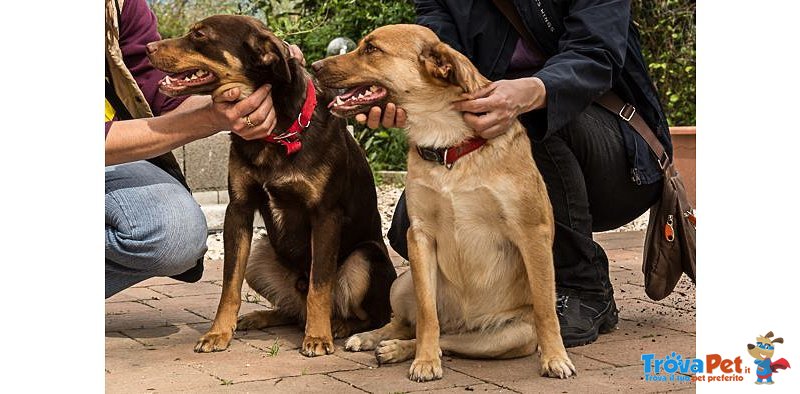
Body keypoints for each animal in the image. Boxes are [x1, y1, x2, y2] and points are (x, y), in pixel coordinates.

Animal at [147, 15, 396, 356]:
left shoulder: (325, 216)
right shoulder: (238, 209)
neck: (277, 132)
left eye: (199, 35)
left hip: (365, 258)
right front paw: (219, 332)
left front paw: (318, 337)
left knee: (365, 314)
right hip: (260, 253)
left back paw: (337, 326)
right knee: (293, 310)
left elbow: (320, 285)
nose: (148, 47)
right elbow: (230, 284)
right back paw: (262, 317)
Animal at [312, 24, 576, 382]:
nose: (313, 66)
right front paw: (424, 361)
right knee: (411, 324)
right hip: (403, 282)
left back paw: (398, 348)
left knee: (450, 340)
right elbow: (426, 314)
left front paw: (555, 358)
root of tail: (460, 322)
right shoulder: (420, 236)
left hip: (510, 335)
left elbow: (547, 309)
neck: (448, 144)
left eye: (372, 49)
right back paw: (379, 340)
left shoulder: (531, 233)